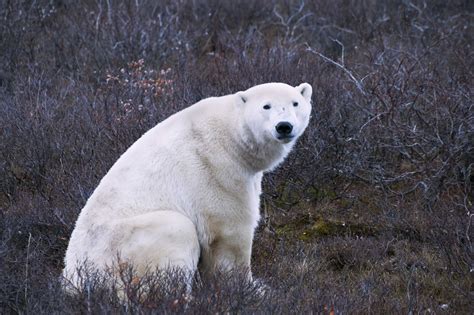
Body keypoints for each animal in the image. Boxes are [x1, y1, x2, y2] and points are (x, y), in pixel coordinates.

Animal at [64, 82, 314, 292]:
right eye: (266, 106)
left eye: (295, 103)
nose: (284, 126)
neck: (229, 134)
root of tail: (74, 282)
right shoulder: (216, 169)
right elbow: (231, 232)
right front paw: (253, 288)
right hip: (121, 246)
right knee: (176, 232)